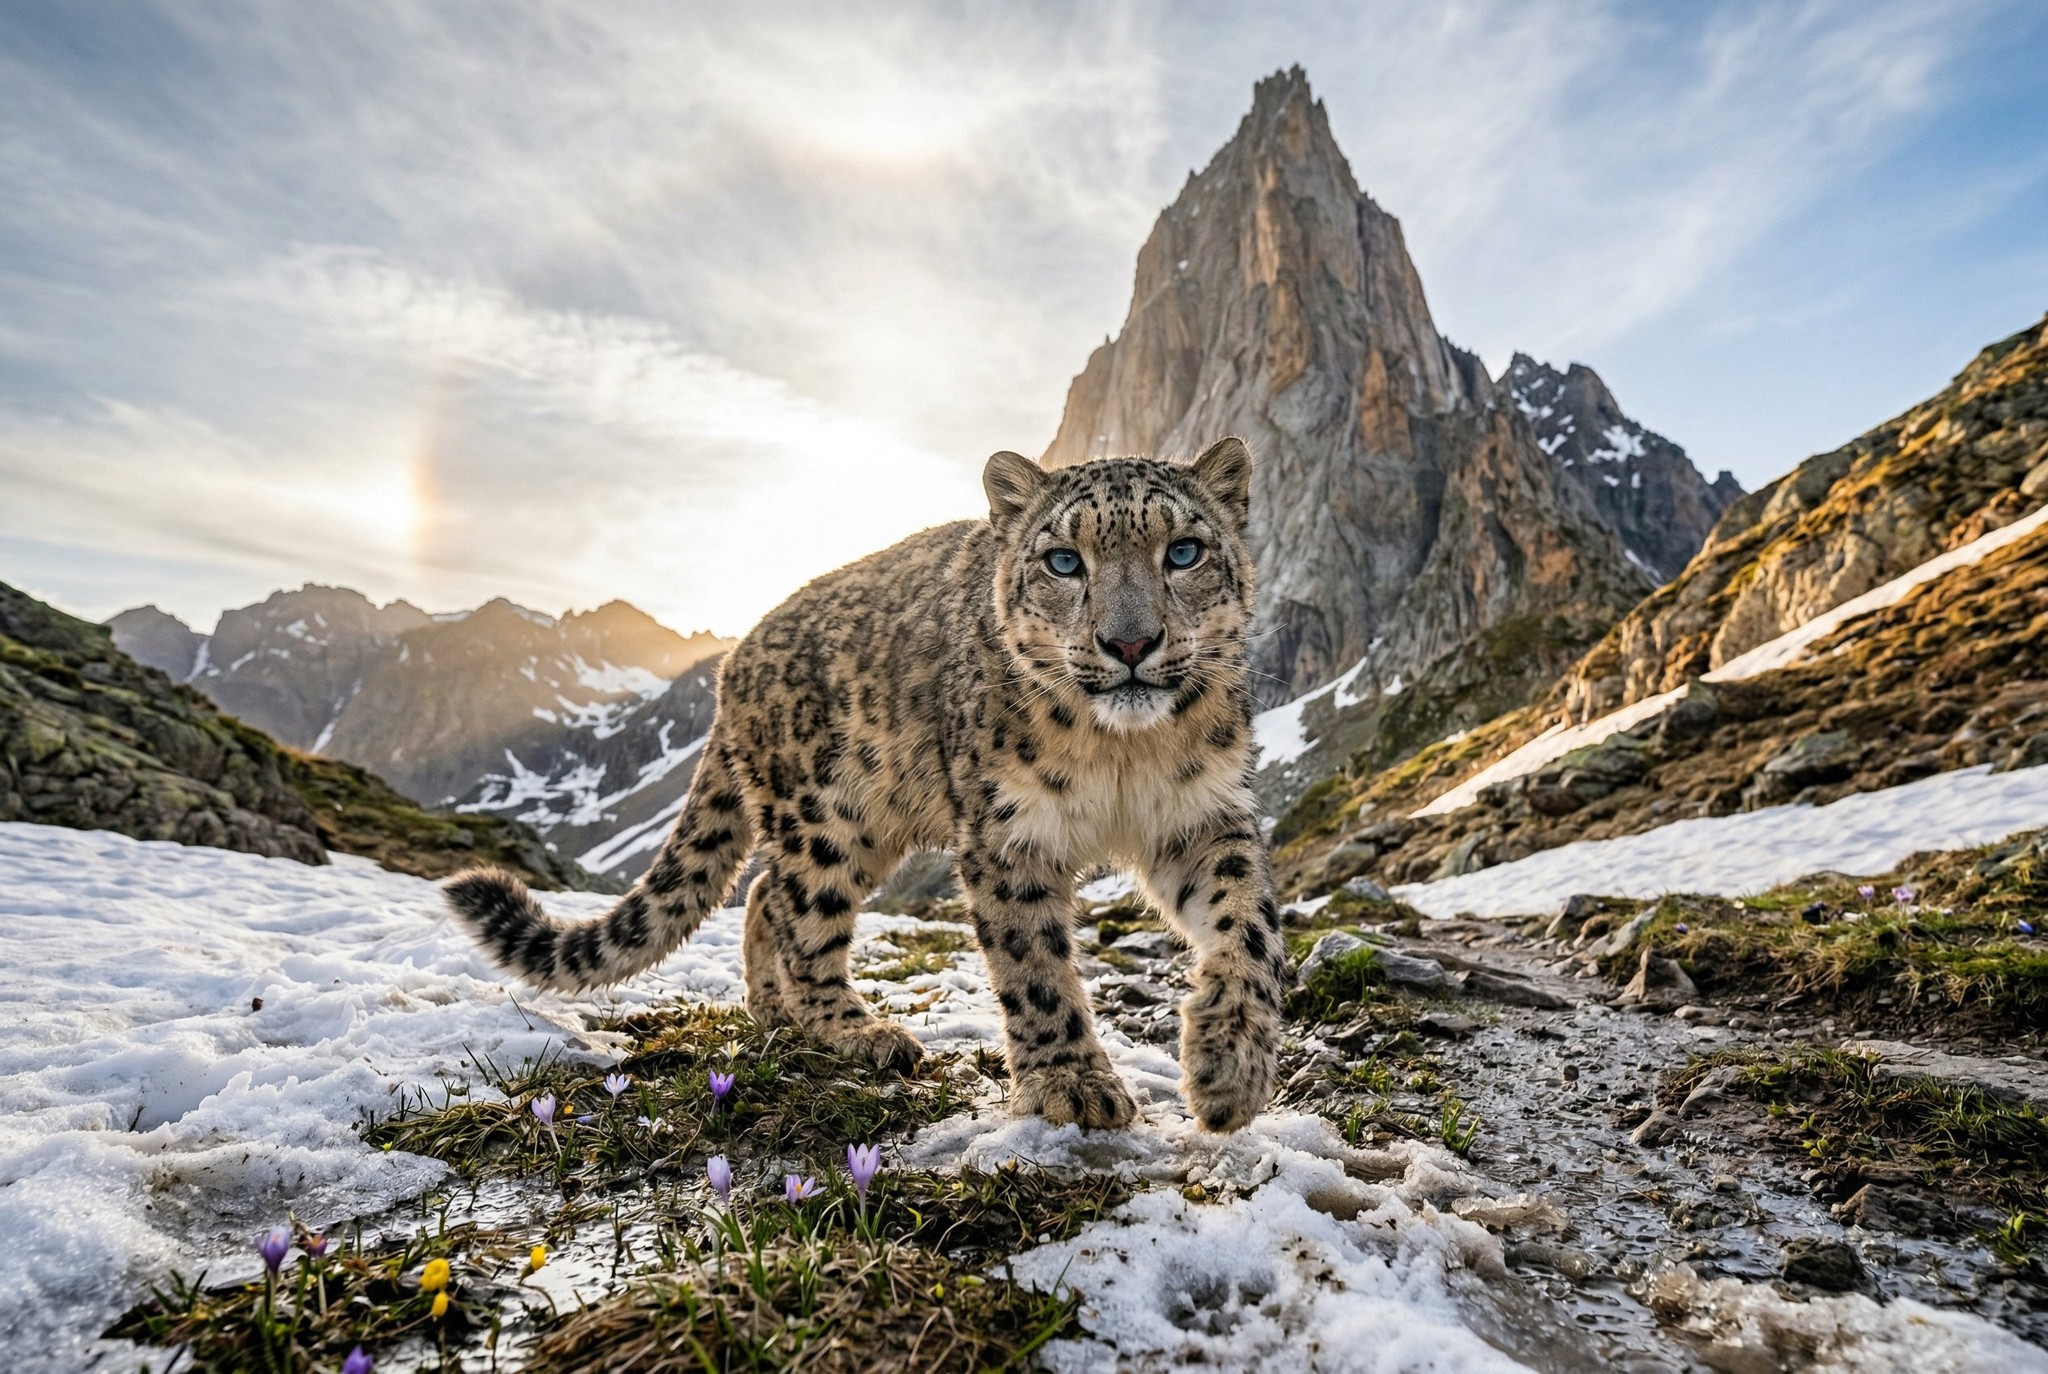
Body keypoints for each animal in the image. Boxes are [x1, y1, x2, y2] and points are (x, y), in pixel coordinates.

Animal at [443, 437, 1286, 1132]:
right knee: (798, 914)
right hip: (827, 816)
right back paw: (858, 1031)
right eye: (1063, 562)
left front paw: (1230, 1070)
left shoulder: (1204, 816)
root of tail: (731, 666)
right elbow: (1034, 965)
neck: (1122, 757)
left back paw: (774, 1013)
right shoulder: (1007, 834)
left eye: (1184, 551)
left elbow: (1249, 928)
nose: (1131, 643)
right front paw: (1071, 1084)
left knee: (763, 894)